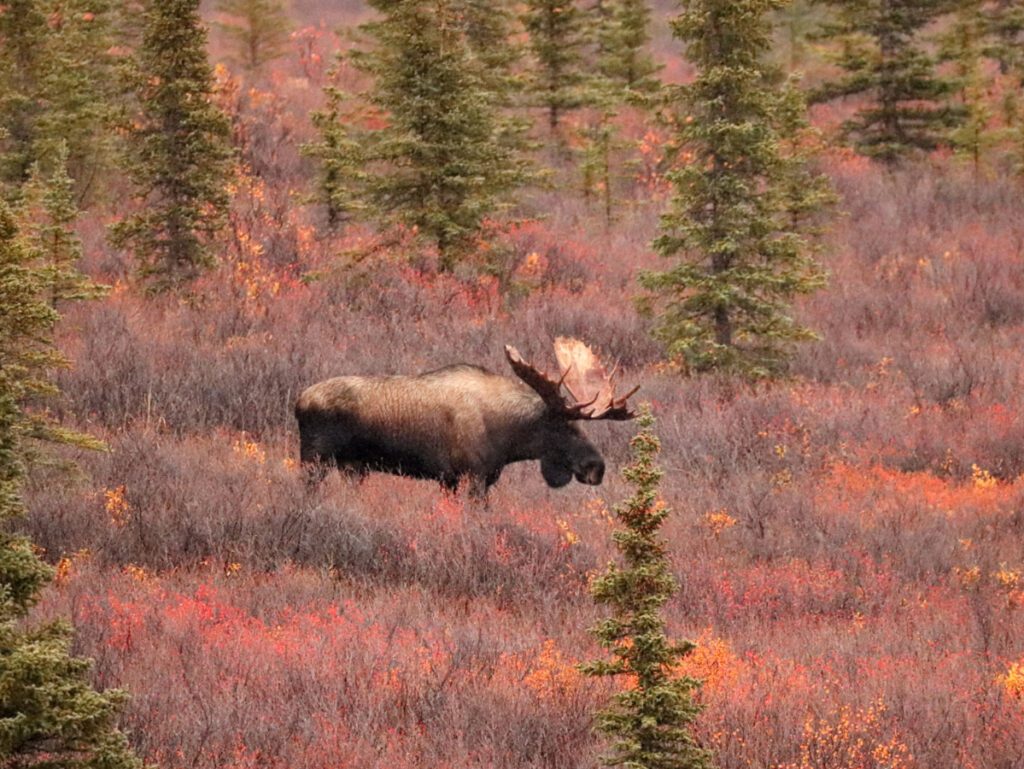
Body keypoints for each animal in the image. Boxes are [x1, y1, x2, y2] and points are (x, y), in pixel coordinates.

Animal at [292, 337, 634, 495]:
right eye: (564, 426)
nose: (596, 467)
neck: (508, 438)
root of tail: (298, 402)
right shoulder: (472, 478)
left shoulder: (452, 481)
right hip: (314, 461)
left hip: (352, 468)